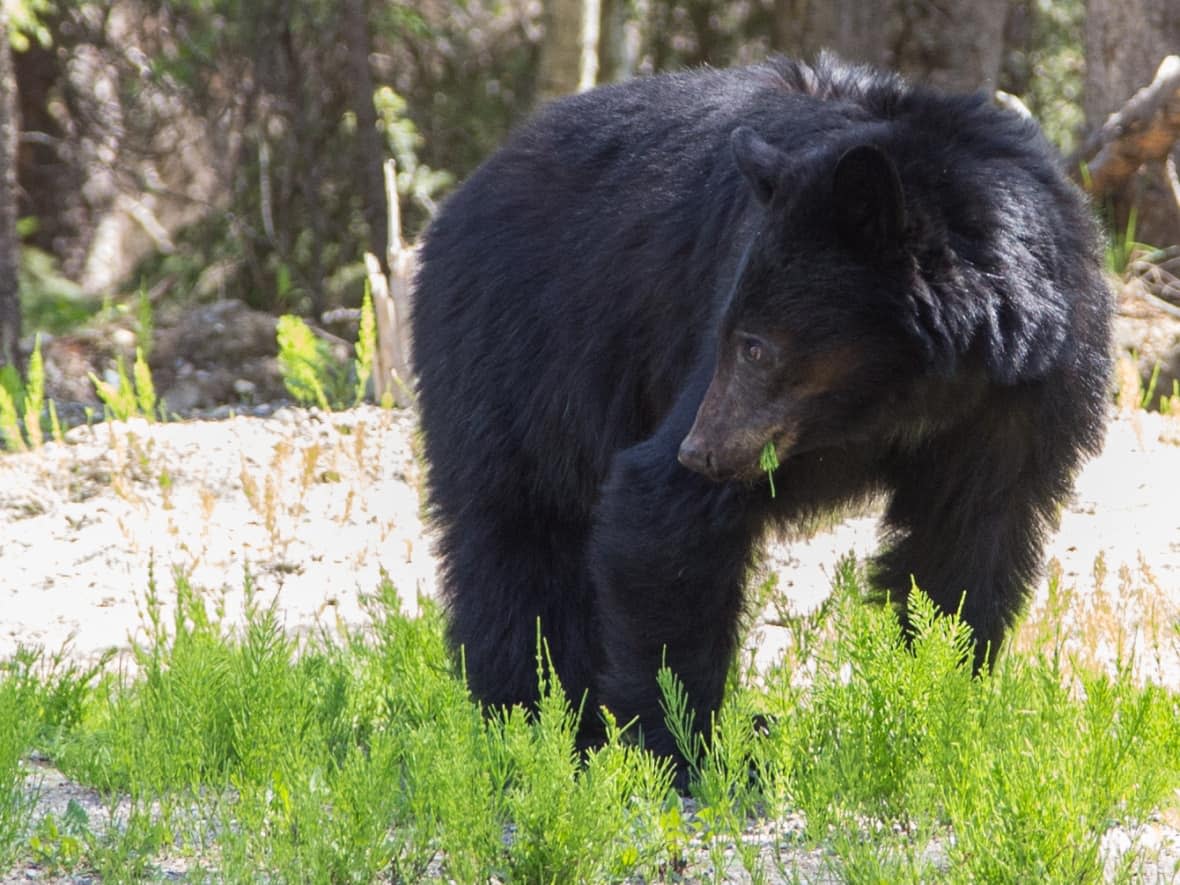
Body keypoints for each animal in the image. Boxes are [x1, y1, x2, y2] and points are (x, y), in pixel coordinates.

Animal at [410, 55, 1109, 764]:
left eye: (755, 346)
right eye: (728, 336)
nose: (701, 450)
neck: (919, 389)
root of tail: (463, 195)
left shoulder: (1026, 396)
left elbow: (966, 545)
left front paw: (938, 703)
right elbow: (660, 513)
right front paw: (681, 750)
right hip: (519, 351)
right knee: (518, 537)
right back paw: (529, 723)